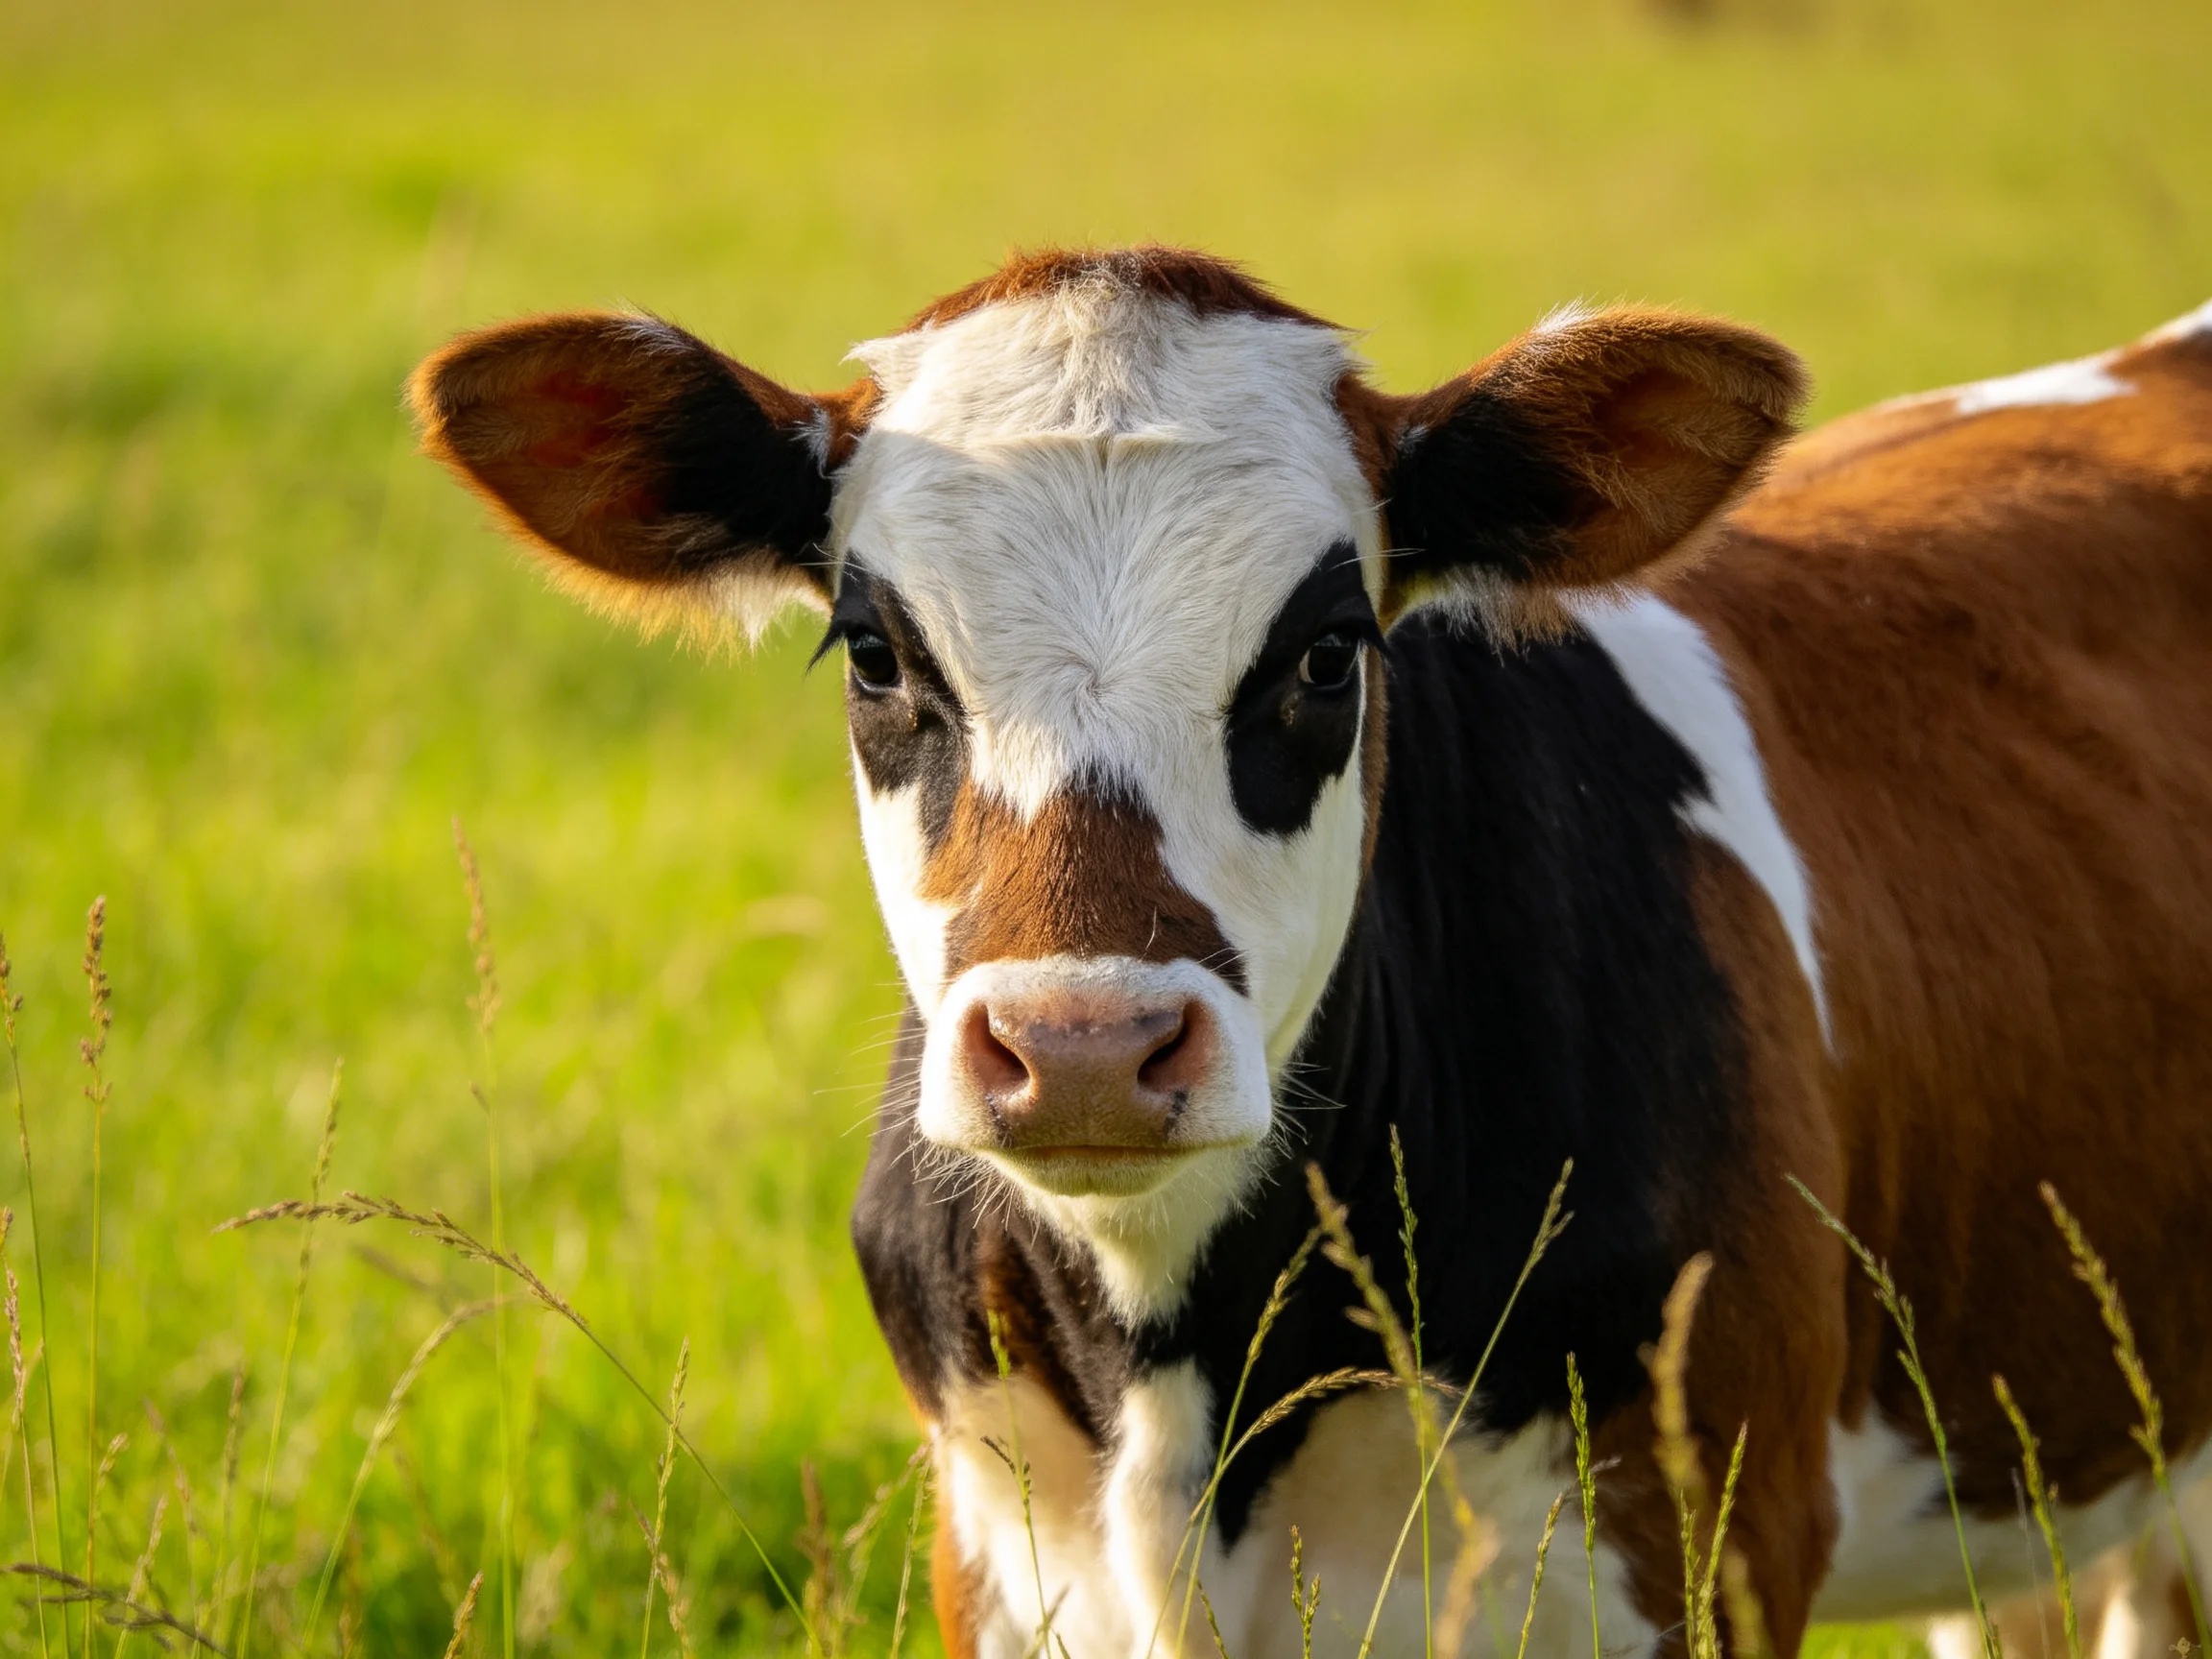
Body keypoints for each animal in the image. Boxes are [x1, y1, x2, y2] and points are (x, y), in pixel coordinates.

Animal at [409, 248, 2212, 1659]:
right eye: (872, 650)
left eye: (1329, 651)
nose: (1081, 1045)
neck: (1180, 1379)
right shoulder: (1000, 1549)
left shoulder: (1708, 1526)